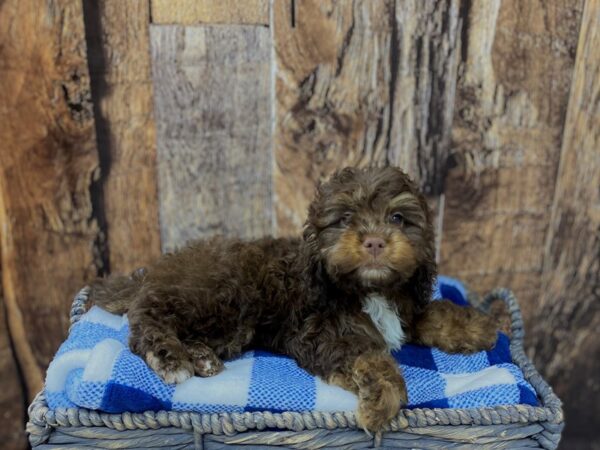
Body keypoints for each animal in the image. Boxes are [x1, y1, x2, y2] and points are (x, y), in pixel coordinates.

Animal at [91, 167, 496, 430]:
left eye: (397, 218)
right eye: (344, 219)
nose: (374, 242)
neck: (369, 289)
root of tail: (158, 268)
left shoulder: (405, 303)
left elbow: (434, 312)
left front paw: (479, 326)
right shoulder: (319, 332)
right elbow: (371, 357)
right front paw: (382, 397)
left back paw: (201, 357)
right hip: (220, 298)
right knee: (146, 320)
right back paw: (172, 357)